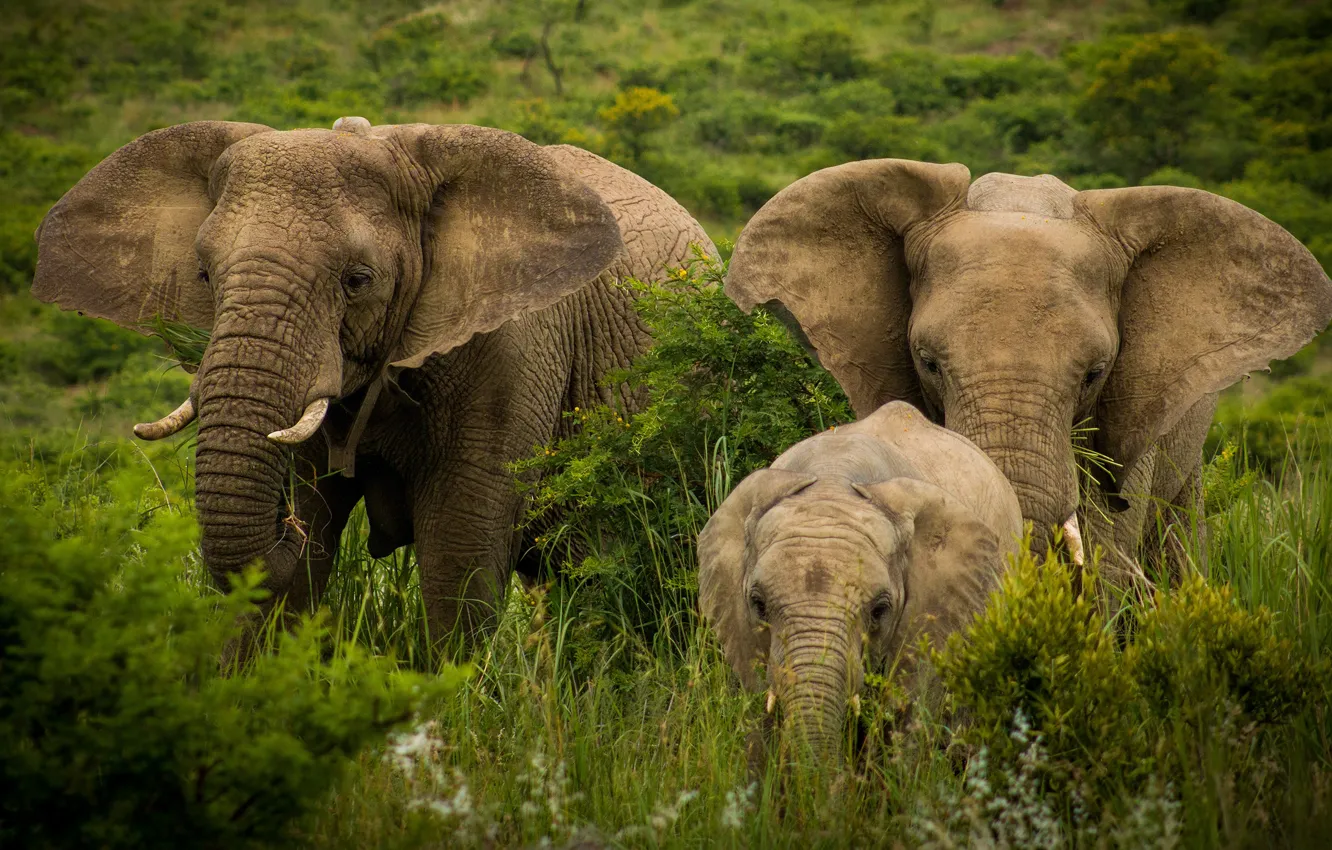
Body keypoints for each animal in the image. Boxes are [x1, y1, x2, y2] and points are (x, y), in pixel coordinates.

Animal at [33, 117, 714, 654]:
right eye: (203, 273)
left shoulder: (516, 347)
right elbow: (304, 558)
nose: (283, 523)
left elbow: (460, 546)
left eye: (358, 280)